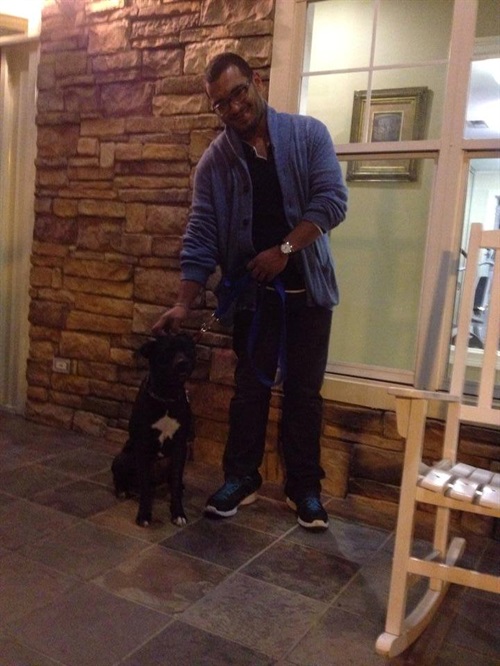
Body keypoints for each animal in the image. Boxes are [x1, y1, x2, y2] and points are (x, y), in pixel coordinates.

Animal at [111, 333, 196, 527]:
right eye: (166, 351)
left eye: (187, 349)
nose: (183, 362)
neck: (166, 397)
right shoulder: (143, 447)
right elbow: (145, 486)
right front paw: (144, 515)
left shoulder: (180, 448)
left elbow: (175, 484)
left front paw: (178, 513)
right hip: (121, 458)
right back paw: (122, 490)